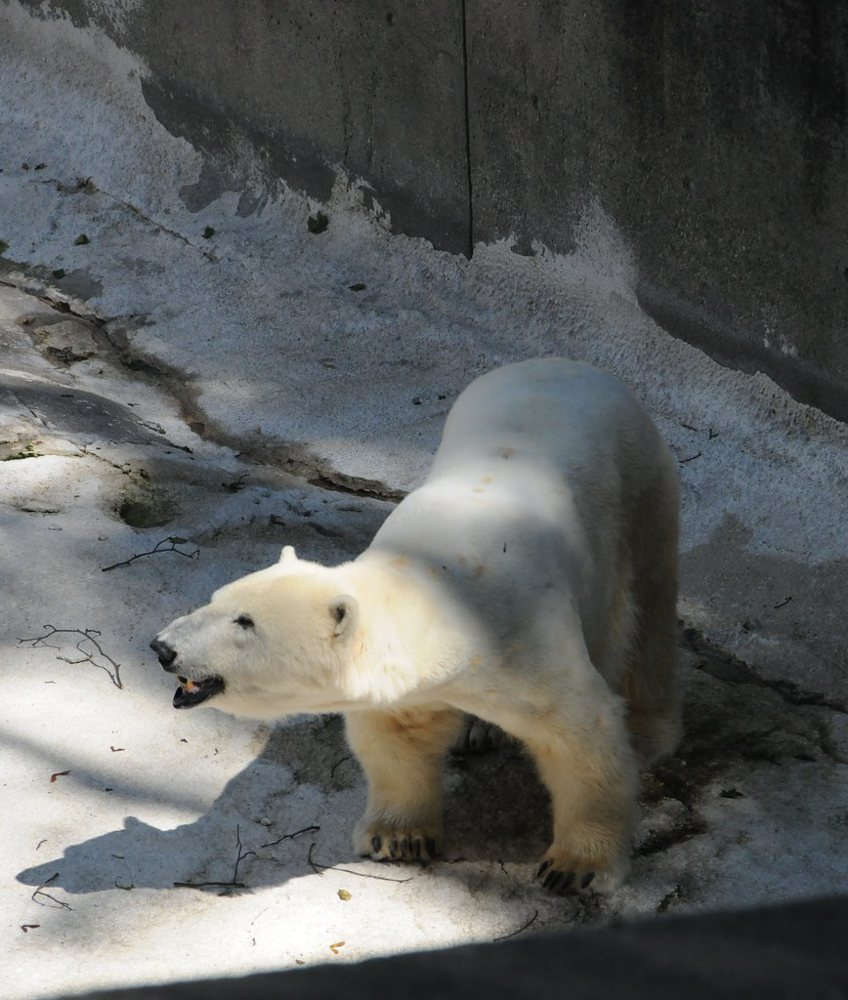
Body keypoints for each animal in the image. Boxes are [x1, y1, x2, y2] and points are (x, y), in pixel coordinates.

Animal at [150, 358, 681, 894]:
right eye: (215, 600)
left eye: (245, 622)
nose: (162, 647)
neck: (451, 597)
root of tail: (565, 364)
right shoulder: (417, 680)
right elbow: (398, 736)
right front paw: (397, 838)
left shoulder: (532, 637)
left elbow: (580, 736)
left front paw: (575, 867)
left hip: (639, 482)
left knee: (648, 610)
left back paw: (648, 731)